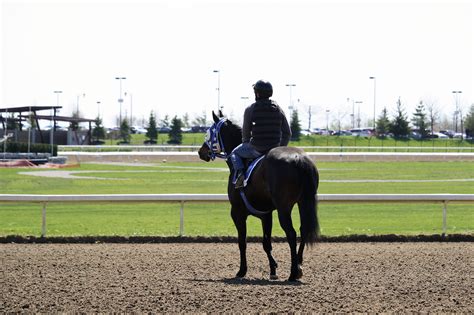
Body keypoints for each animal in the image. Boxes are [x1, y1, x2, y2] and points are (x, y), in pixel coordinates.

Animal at [198, 110, 320, 282]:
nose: (201, 151)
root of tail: (299, 158)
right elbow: (266, 243)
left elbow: (242, 242)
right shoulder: (266, 215)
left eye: (208, 132)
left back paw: (293, 272)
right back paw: (299, 266)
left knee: (291, 233)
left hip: (284, 208)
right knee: (304, 230)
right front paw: (273, 269)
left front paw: (242, 271)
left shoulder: (237, 212)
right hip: (304, 202)